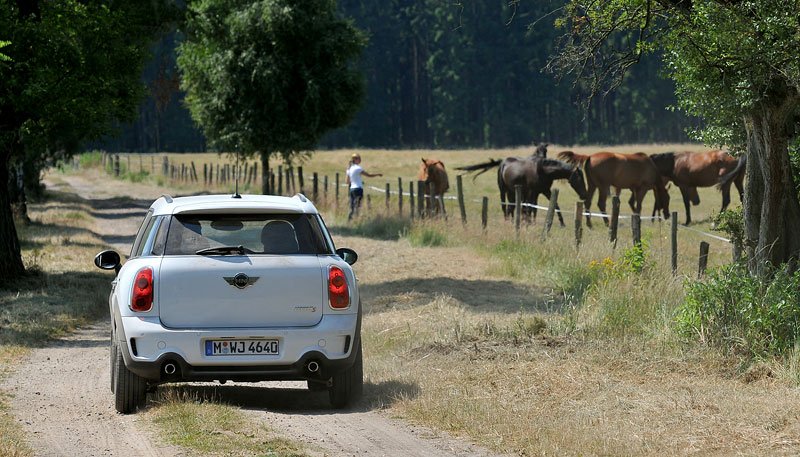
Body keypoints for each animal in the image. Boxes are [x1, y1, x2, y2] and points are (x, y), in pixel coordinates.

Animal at [456, 154, 588, 225]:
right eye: (579, 179)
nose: (584, 195)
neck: (543, 170)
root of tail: (503, 162)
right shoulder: (531, 192)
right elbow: (529, 208)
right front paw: (528, 223)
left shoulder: (544, 191)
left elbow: (552, 206)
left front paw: (562, 223)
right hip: (503, 190)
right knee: (505, 207)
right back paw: (508, 221)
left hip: (512, 192)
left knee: (511, 207)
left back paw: (513, 221)